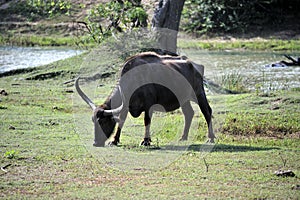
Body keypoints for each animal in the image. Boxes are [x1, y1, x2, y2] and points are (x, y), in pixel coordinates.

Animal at [76, 52, 214, 147]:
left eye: (103, 121)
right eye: (93, 120)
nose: (95, 142)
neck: (133, 80)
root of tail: (195, 65)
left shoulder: (149, 106)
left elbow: (147, 121)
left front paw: (146, 141)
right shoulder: (126, 106)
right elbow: (121, 121)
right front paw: (114, 140)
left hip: (199, 94)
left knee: (207, 112)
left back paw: (210, 138)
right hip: (184, 99)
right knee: (189, 113)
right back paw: (183, 137)